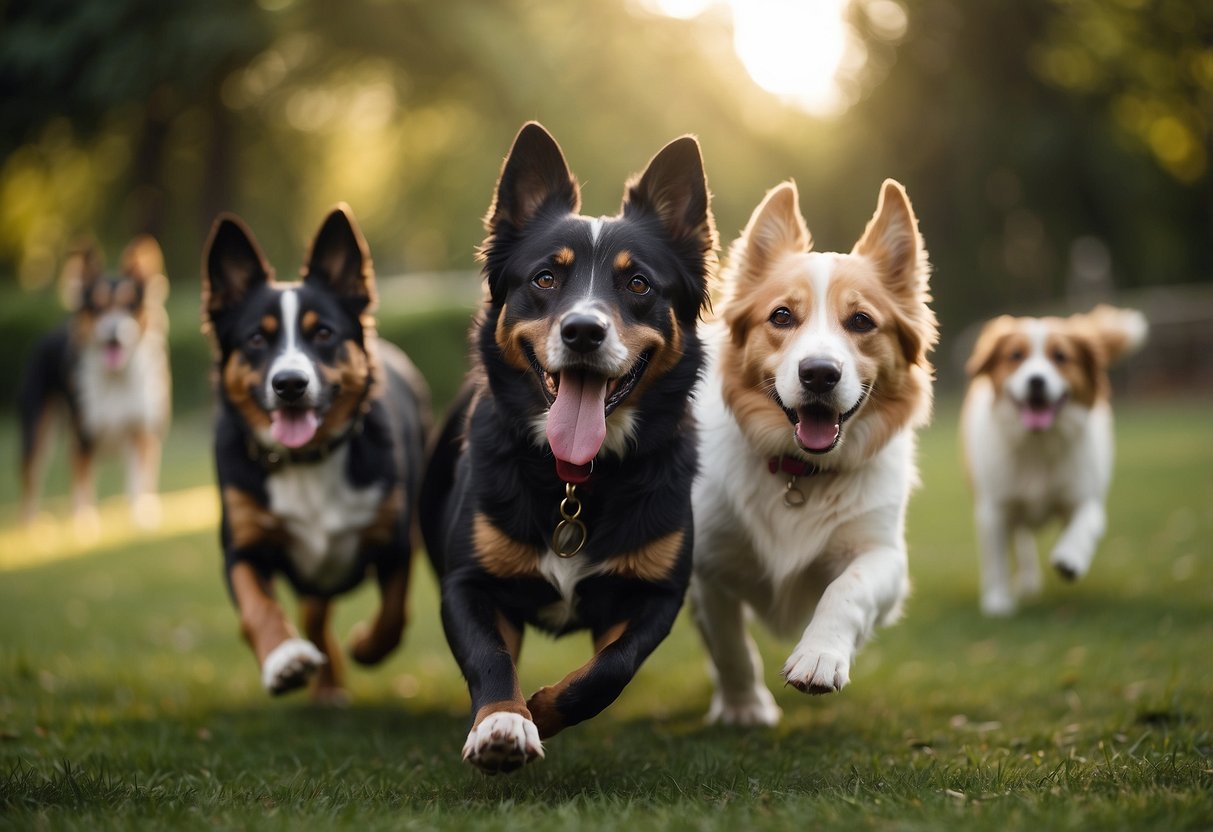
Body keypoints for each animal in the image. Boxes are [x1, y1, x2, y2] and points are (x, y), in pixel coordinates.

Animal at [198, 204, 426, 698]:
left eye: (322, 332)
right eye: (256, 339)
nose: (289, 384)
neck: (308, 462)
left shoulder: (396, 539)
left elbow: (395, 614)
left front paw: (366, 646)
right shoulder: (241, 547)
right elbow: (258, 606)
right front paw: (282, 659)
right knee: (312, 616)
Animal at [422, 122, 713, 776]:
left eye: (638, 284)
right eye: (545, 279)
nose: (583, 331)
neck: (575, 478)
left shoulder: (657, 593)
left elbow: (608, 671)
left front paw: (540, 709)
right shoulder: (466, 584)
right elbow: (491, 657)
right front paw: (502, 721)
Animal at [693, 180, 936, 722]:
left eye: (861, 321)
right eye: (782, 316)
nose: (820, 374)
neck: (800, 472)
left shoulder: (884, 555)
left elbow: (847, 590)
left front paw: (820, 657)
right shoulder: (708, 564)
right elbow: (728, 643)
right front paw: (743, 706)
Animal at [955, 306, 1145, 618]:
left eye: (1060, 356)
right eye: (1015, 355)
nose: (1036, 381)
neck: (1038, 444)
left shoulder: (1087, 494)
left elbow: (1085, 523)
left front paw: (1070, 558)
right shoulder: (994, 507)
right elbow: (996, 559)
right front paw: (998, 602)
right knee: (1021, 542)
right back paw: (1027, 581)